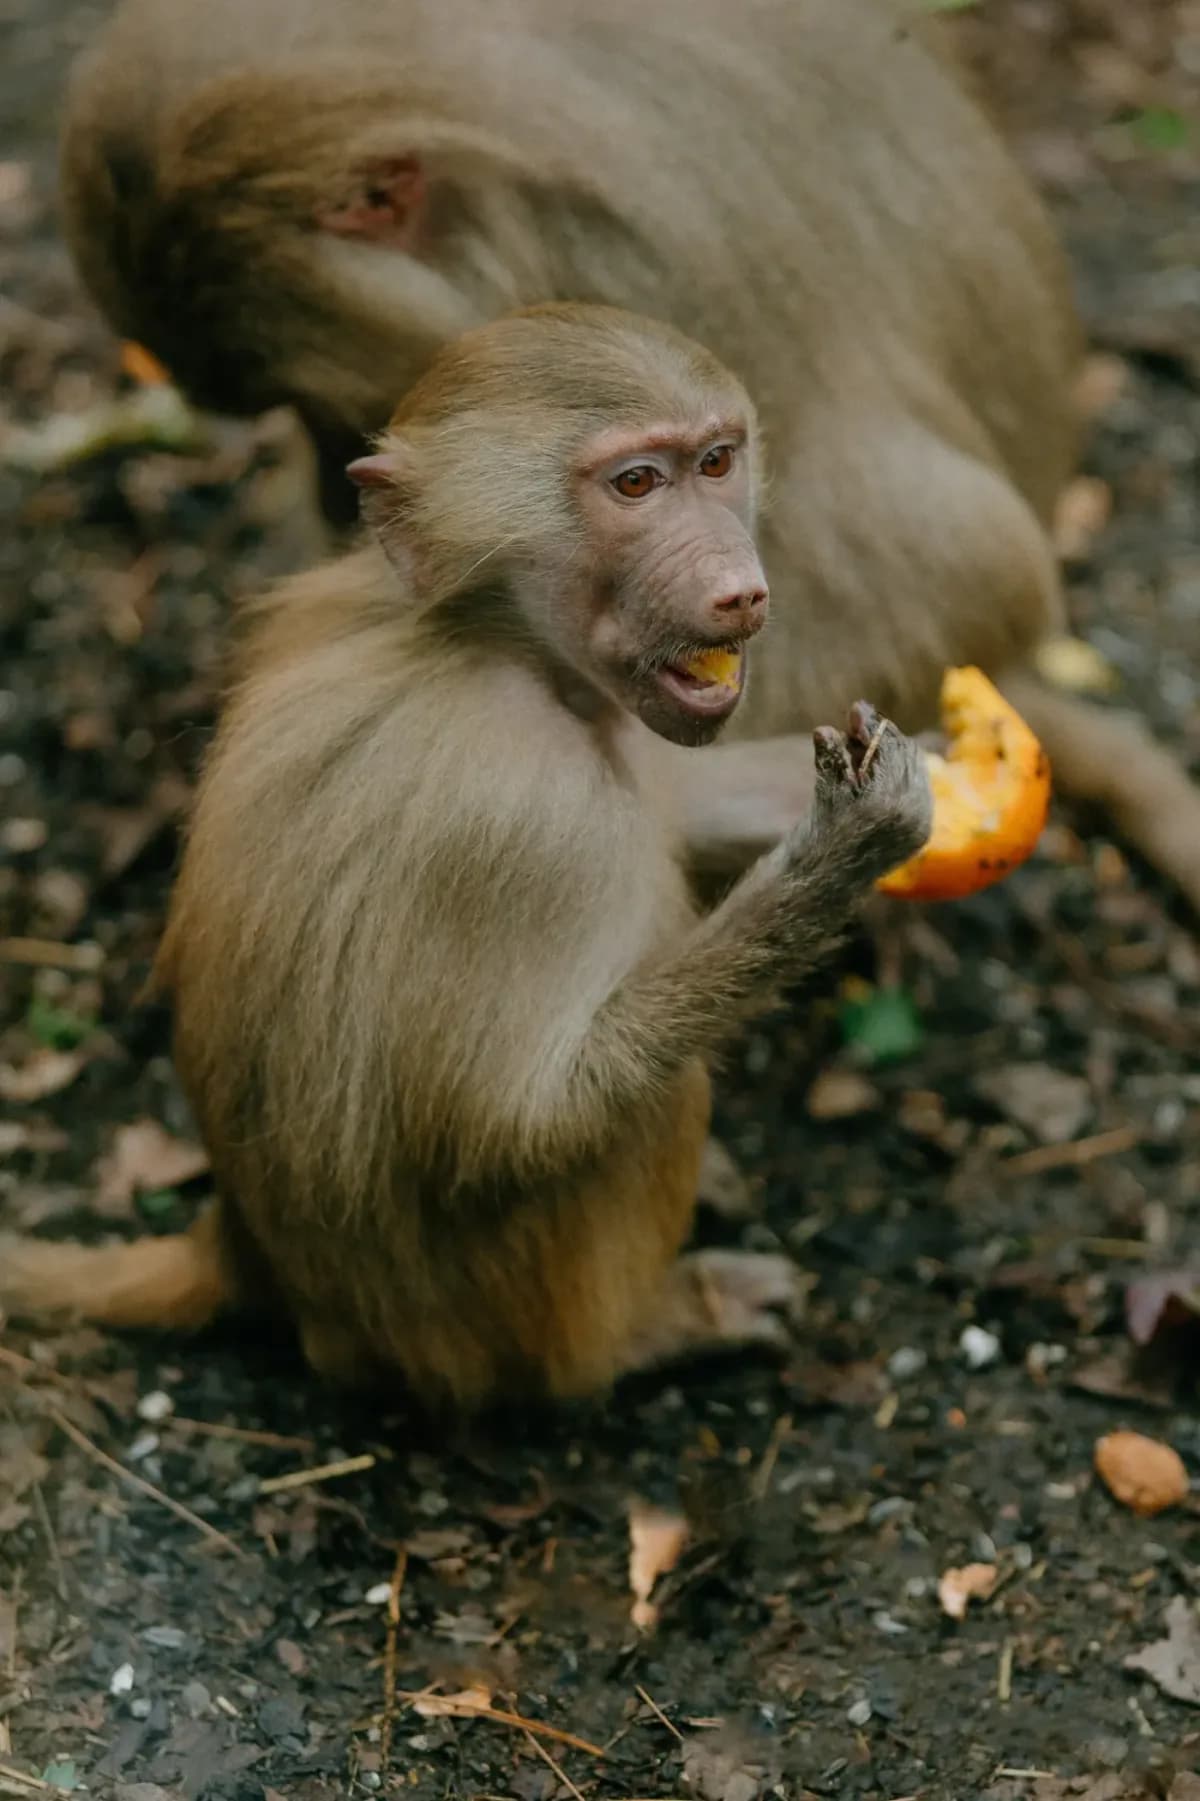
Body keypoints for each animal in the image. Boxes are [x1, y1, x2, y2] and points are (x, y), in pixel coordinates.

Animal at [0, 306, 934, 1410]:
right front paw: (846, 848)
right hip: (487, 1324)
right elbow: (507, 1125)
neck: (496, 641)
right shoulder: (520, 812)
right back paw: (655, 1327)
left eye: (716, 461)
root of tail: (243, 1249)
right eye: (635, 485)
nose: (741, 591)